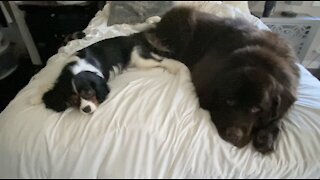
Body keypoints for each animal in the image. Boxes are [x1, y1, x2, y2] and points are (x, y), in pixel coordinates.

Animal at [142, 7, 300, 153]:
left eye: (257, 109)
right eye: (229, 101)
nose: (233, 135)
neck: (260, 60)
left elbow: (279, 116)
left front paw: (266, 137)